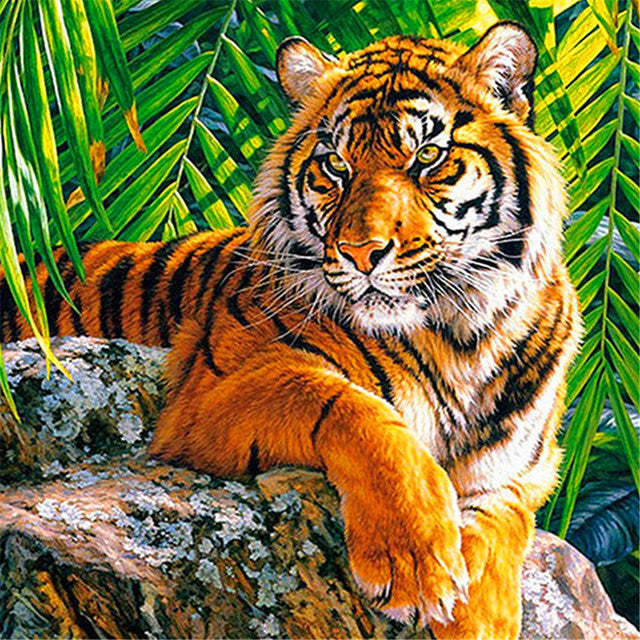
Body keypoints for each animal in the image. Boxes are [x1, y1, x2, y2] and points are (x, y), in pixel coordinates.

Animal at [0, 21, 582, 639]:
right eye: (335, 165)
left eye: (428, 157)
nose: (361, 253)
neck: (460, 332)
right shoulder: (208, 392)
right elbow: (356, 412)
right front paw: (413, 559)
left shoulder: (525, 465)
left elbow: (501, 519)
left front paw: (481, 615)